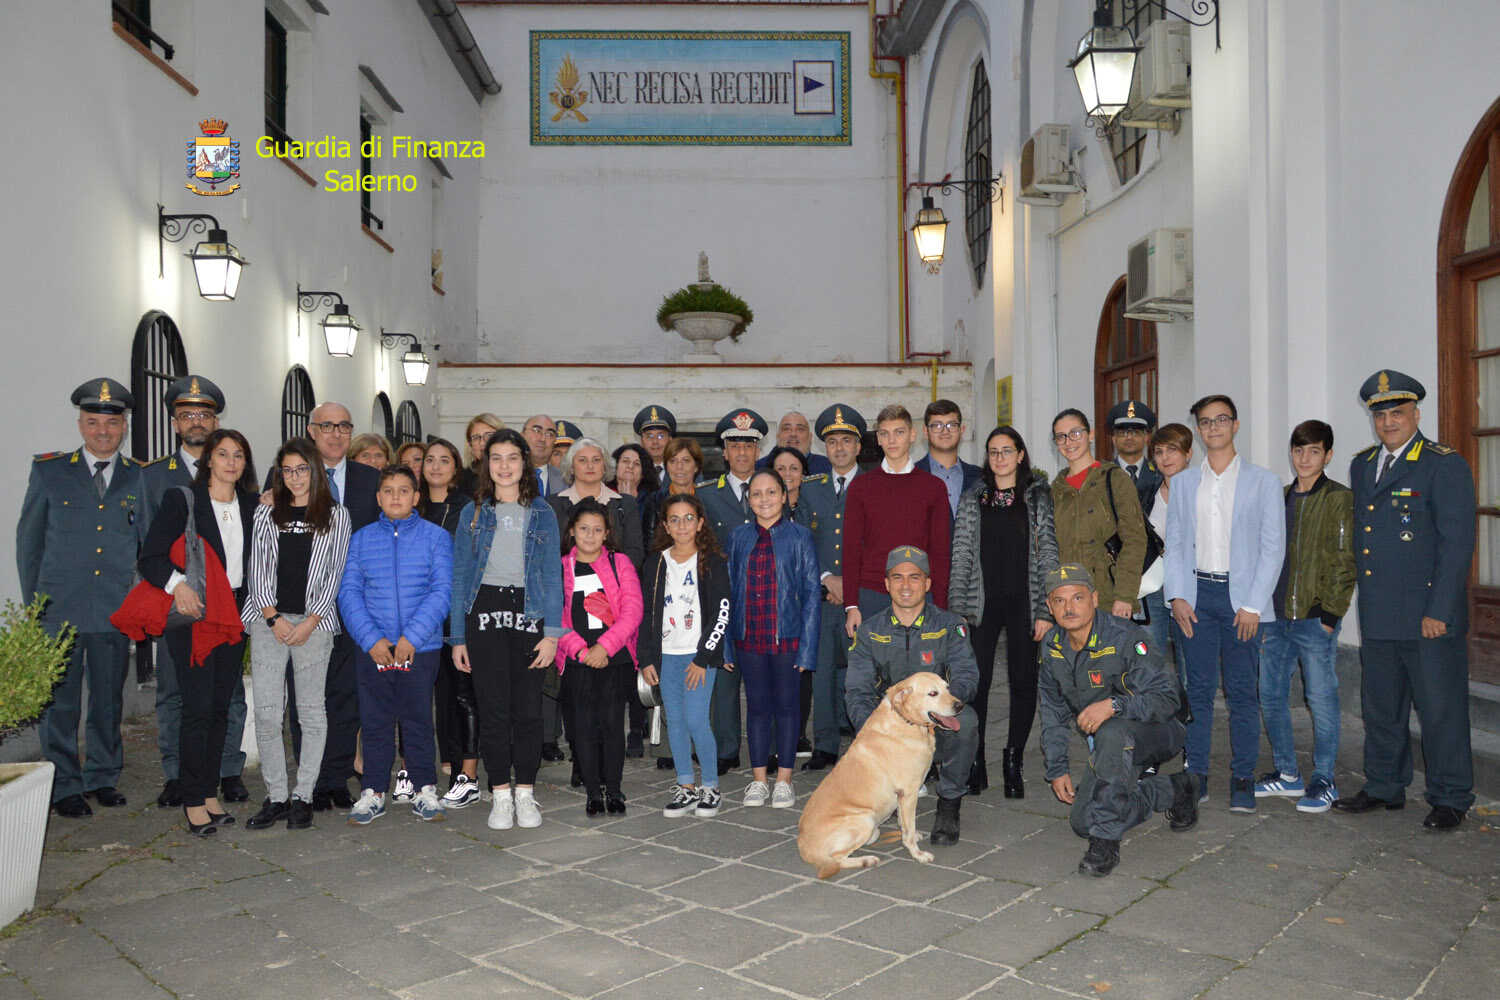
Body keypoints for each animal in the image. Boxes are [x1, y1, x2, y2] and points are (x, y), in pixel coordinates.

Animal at [797, 672, 963, 879]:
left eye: (947, 688)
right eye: (933, 693)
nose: (960, 705)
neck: (906, 721)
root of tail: (803, 847)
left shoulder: (903, 796)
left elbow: (904, 823)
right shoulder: (909, 793)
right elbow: (909, 829)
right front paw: (918, 854)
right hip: (864, 820)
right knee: (836, 859)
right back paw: (866, 860)